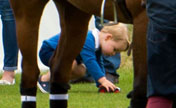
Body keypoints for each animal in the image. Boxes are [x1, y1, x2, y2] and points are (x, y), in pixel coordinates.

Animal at [9, 0, 147, 107]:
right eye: (114, 50)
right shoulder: (142, 17)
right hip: (27, 13)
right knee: (30, 74)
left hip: (75, 14)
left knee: (58, 71)